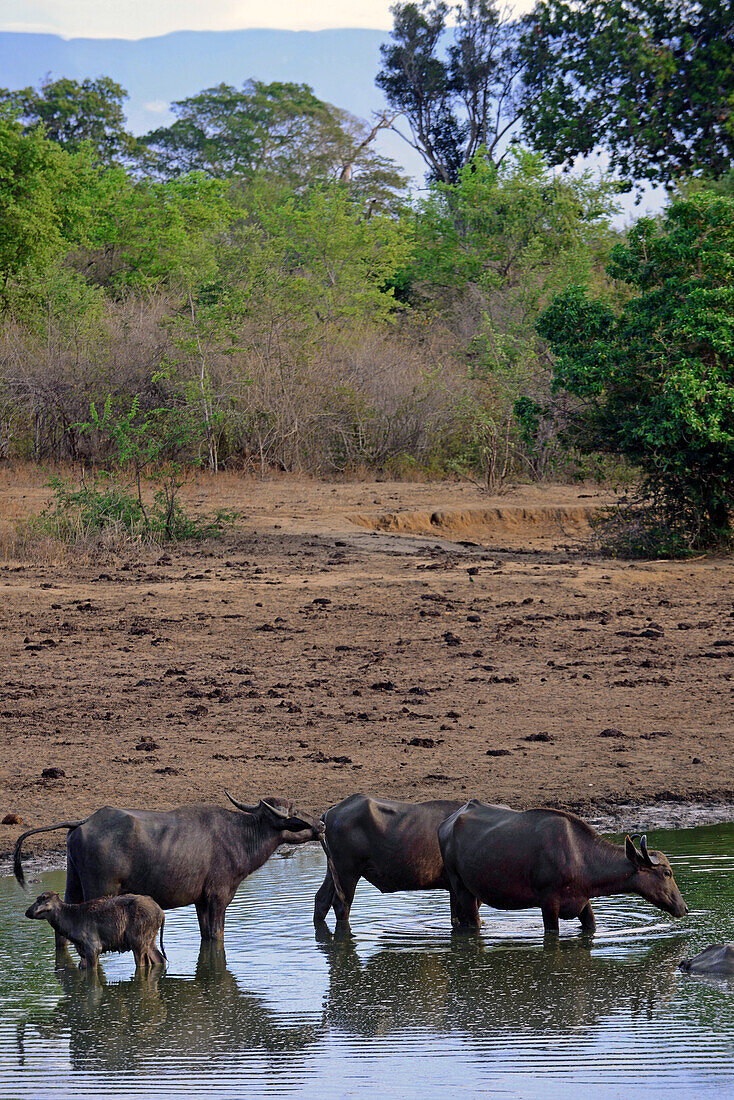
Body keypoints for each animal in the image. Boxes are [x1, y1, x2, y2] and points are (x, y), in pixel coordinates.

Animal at [13, 796, 323, 950]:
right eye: (295, 812)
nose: (321, 823)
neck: (240, 835)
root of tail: (83, 822)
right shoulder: (218, 897)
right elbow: (217, 935)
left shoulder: (201, 901)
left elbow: (207, 936)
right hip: (99, 889)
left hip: (73, 883)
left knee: (61, 932)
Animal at [25, 893, 166, 972]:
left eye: (40, 900)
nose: (27, 911)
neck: (70, 926)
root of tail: (161, 912)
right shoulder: (84, 951)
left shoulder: (93, 947)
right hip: (150, 940)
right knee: (160, 958)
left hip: (138, 940)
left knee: (144, 963)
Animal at [435, 805, 691, 932]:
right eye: (667, 873)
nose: (685, 908)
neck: (580, 856)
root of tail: (447, 823)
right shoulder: (548, 903)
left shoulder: (582, 901)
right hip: (463, 888)